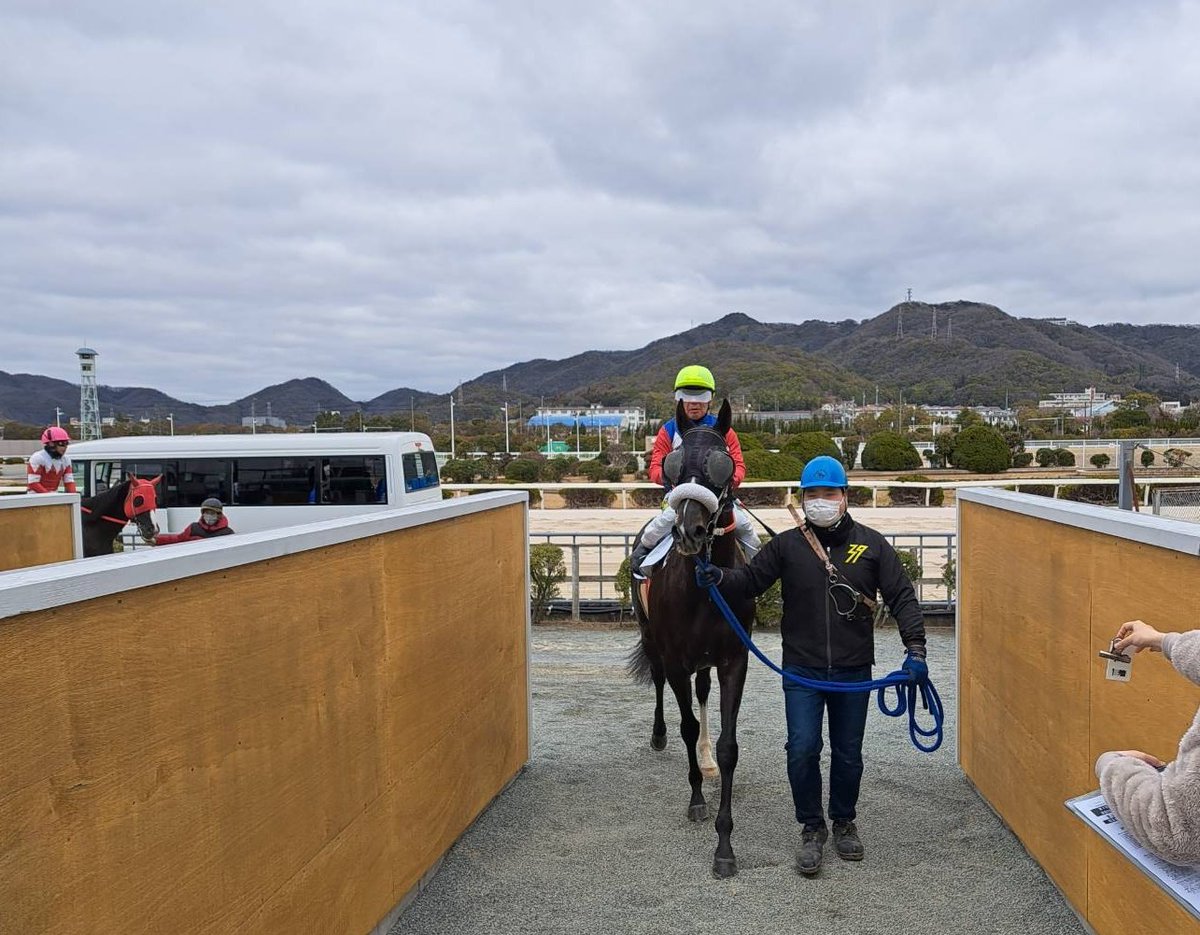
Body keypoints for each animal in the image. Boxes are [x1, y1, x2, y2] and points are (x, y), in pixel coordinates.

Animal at [624, 400, 753, 878]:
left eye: (722, 462)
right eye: (675, 465)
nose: (688, 531)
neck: (703, 587)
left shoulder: (735, 659)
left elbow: (729, 745)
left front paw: (725, 844)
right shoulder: (678, 660)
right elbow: (686, 725)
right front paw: (697, 800)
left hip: (705, 662)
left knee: (702, 693)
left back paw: (706, 758)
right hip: (652, 640)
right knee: (661, 686)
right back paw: (659, 736)